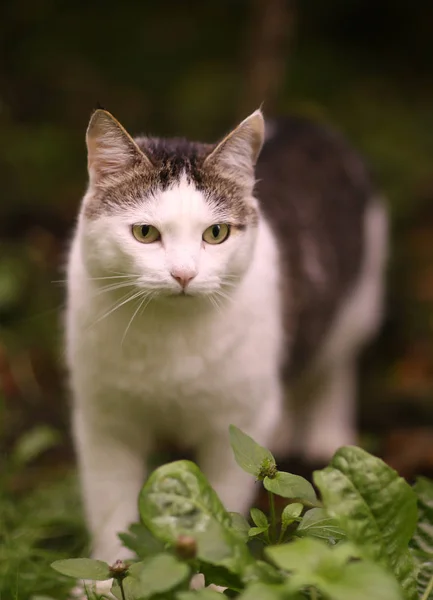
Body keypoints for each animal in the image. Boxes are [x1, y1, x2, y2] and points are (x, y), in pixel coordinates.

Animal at [66, 108, 386, 596]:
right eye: (145, 233)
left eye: (215, 233)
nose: (183, 274)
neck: (168, 337)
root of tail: (306, 121)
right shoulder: (105, 424)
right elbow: (109, 507)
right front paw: (105, 580)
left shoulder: (235, 426)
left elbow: (221, 513)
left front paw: (213, 586)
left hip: (357, 303)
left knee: (334, 367)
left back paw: (325, 431)